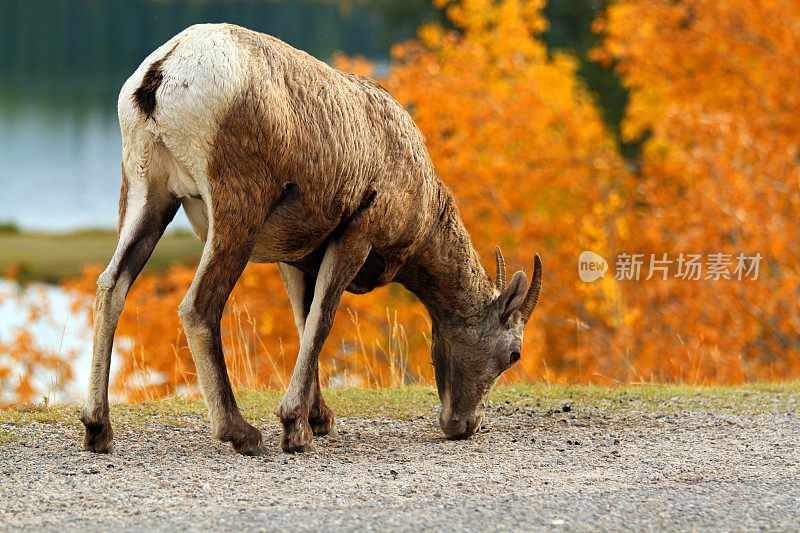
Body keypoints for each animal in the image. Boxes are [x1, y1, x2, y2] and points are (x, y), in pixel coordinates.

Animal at [81, 22, 540, 450]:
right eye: (513, 354)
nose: (465, 426)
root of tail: (164, 70)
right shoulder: (356, 237)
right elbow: (321, 322)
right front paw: (296, 431)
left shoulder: (294, 256)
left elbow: (304, 322)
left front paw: (318, 420)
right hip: (236, 211)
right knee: (198, 306)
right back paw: (240, 433)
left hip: (147, 194)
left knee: (111, 286)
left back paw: (98, 430)